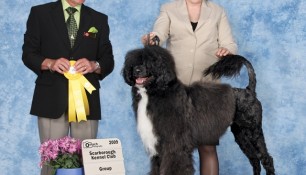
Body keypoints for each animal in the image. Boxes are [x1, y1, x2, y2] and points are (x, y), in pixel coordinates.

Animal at [122, 45, 274, 174]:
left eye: (150, 62)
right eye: (133, 63)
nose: (136, 70)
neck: (157, 91)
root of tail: (249, 91)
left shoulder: (174, 146)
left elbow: (174, 168)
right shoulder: (158, 148)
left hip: (253, 130)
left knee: (266, 159)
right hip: (241, 134)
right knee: (255, 160)